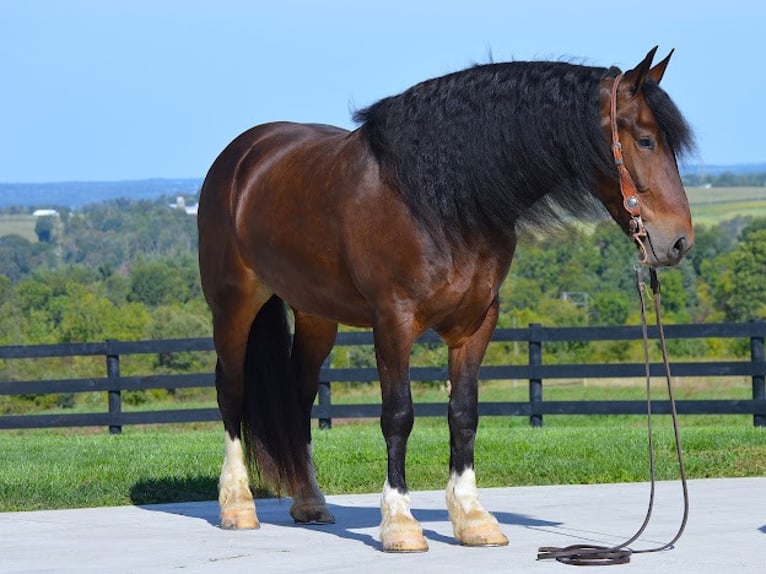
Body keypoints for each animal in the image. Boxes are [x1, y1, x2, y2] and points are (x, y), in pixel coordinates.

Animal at [196, 48, 696, 552]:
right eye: (646, 140)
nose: (677, 242)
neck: (444, 198)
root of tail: (243, 157)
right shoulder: (393, 322)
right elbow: (398, 415)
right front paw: (400, 523)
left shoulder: (476, 323)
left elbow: (464, 414)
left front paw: (473, 519)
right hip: (234, 305)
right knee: (232, 392)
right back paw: (237, 507)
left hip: (317, 315)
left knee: (298, 396)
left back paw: (310, 502)